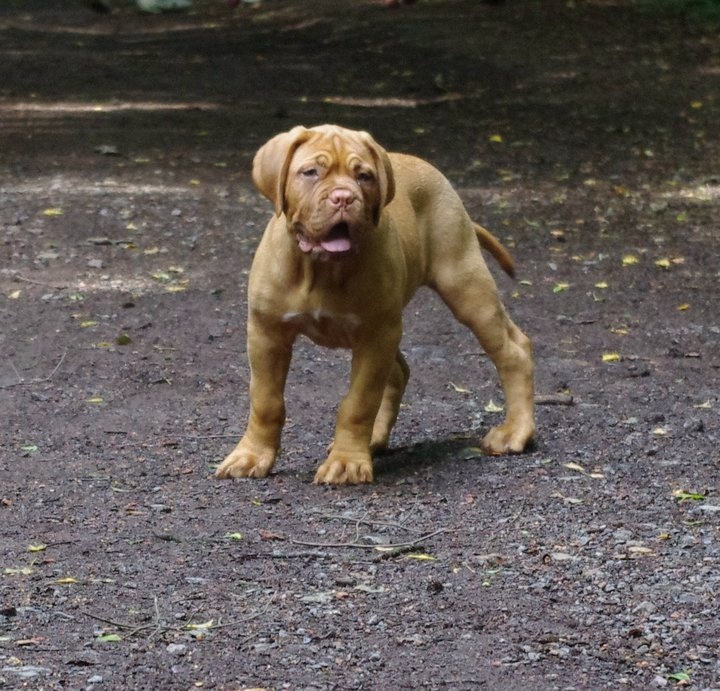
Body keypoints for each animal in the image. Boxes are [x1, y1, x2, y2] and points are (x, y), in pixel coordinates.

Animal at [214, 124, 536, 484]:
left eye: (364, 176)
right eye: (310, 173)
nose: (344, 197)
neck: (320, 268)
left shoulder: (374, 336)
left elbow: (359, 402)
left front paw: (347, 462)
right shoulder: (266, 333)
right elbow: (266, 400)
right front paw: (252, 455)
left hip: (465, 288)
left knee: (514, 351)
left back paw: (515, 432)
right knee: (400, 370)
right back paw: (375, 439)